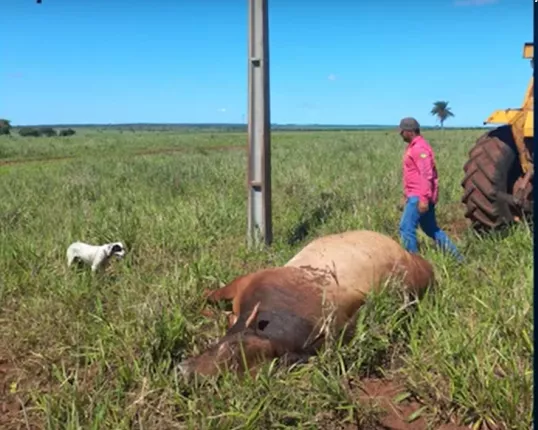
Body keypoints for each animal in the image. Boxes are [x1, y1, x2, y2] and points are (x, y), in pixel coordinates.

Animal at [178, 230, 434, 378]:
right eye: (231, 346)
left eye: (234, 353)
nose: (183, 372)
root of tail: (419, 262)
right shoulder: (243, 282)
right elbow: (210, 296)